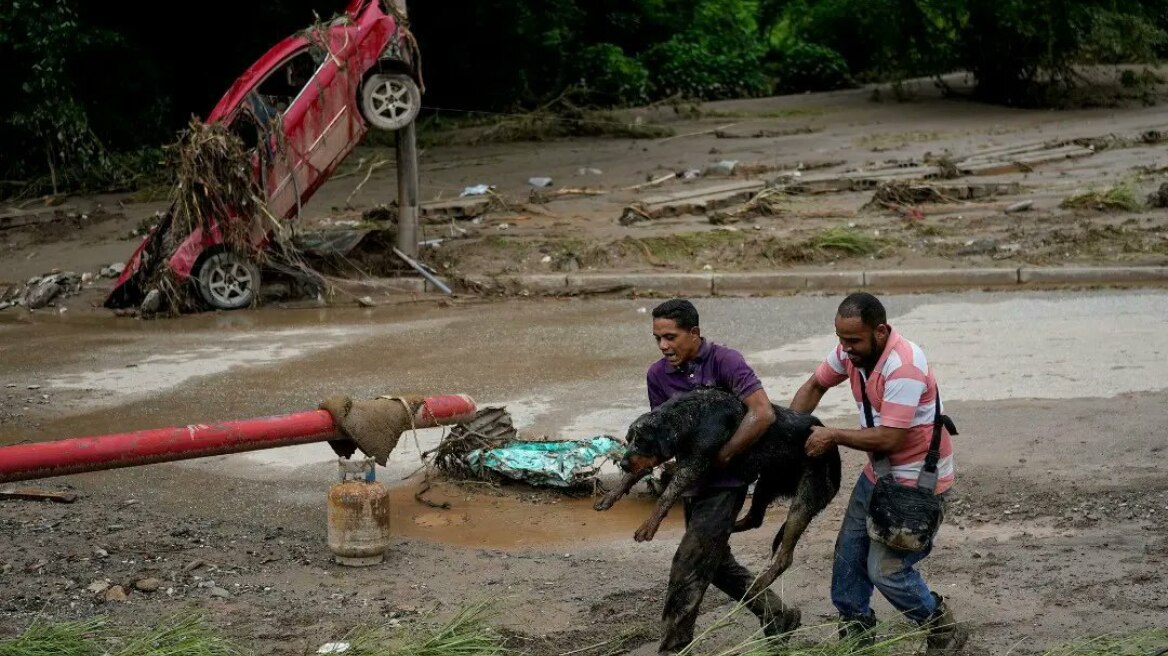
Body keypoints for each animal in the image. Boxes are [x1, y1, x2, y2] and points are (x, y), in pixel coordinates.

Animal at [593, 387, 840, 597]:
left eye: (642, 441)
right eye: (628, 440)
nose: (623, 463)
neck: (692, 415)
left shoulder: (694, 464)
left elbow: (667, 494)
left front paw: (649, 526)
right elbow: (633, 475)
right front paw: (610, 496)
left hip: (805, 499)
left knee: (785, 557)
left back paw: (760, 582)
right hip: (767, 482)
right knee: (755, 518)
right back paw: (732, 528)